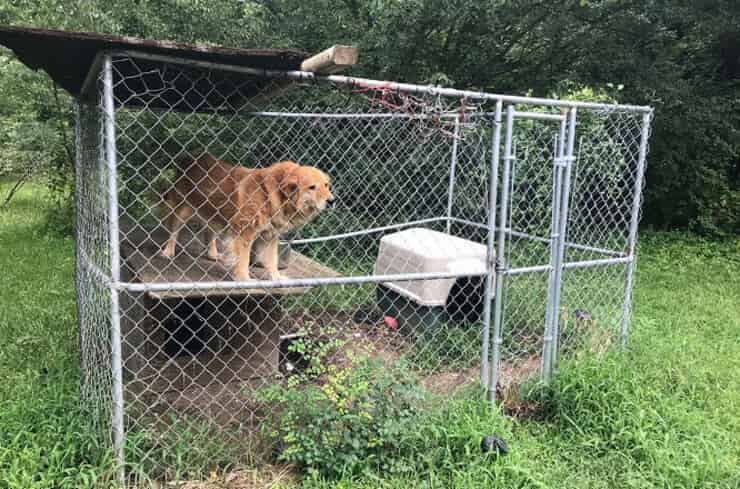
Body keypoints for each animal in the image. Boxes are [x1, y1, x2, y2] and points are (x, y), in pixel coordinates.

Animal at [160, 153, 333, 281]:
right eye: (312, 187)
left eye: (326, 185)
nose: (332, 201)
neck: (273, 195)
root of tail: (191, 158)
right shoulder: (245, 232)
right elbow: (243, 259)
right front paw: (244, 279)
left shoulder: (270, 236)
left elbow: (272, 261)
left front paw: (276, 278)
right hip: (182, 210)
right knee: (174, 231)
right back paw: (168, 252)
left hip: (214, 214)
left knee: (209, 233)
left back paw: (213, 254)